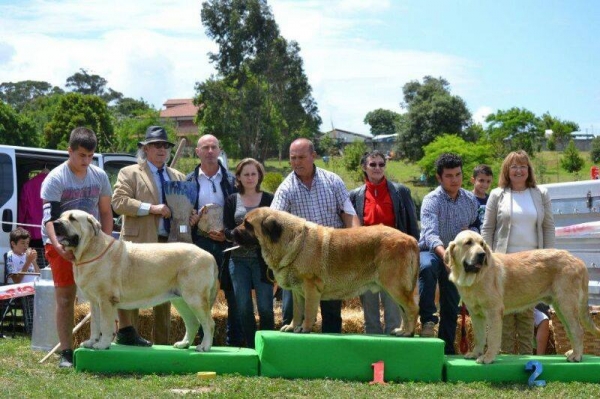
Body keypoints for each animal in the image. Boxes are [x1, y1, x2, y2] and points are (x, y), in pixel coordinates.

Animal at [52, 211, 219, 352]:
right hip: (181, 300)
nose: (55, 223)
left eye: (72, 218)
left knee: (209, 323)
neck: (91, 249)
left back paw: (204, 347)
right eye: (61, 216)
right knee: (193, 322)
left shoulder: (106, 300)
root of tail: (210, 255)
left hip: (195, 298)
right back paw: (184, 344)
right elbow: (94, 324)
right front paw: (91, 342)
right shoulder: (94, 302)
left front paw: (102, 344)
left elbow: (105, 325)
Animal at [232, 209, 420, 338]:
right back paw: (402, 330)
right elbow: (297, 311)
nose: (231, 232)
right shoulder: (297, 291)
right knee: (405, 310)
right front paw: (292, 327)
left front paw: (304, 328)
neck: (291, 241)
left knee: (412, 308)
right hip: (393, 289)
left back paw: (408, 333)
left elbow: (308, 311)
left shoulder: (310, 287)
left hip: (395, 286)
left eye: (247, 224)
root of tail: (411, 240)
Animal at [446, 230, 600, 364]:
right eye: (468, 243)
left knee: (578, 330)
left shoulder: (493, 311)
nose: (482, 254)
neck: (475, 278)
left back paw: (577, 356)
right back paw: (572, 353)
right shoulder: (476, 314)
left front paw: (488, 357)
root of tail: (578, 261)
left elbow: (492, 338)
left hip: (566, 304)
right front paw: (475, 353)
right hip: (561, 307)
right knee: (571, 330)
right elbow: (479, 336)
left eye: (482, 244)